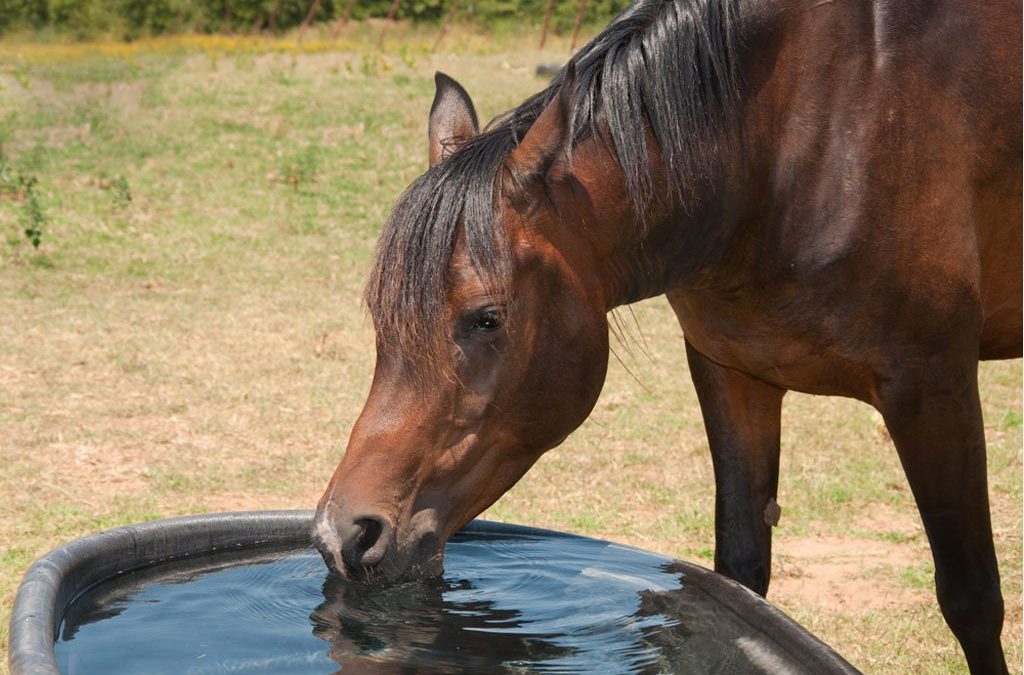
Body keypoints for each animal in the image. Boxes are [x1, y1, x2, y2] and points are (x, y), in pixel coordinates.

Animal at [313, 1, 1024, 671]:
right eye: (379, 315)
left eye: (485, 318)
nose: (342, 536)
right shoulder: (732, 372)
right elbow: (740, 580)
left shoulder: (932, 385)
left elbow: (972, 597)